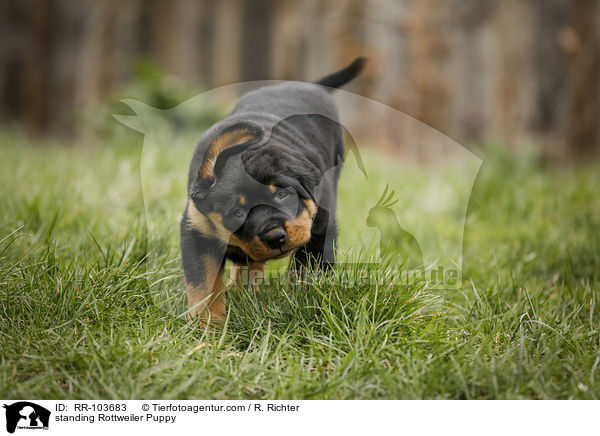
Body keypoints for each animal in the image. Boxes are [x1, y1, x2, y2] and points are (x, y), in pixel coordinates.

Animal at [179, 57, 366, 324]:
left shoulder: (321, 229)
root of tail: (311, 85)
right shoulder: (197, 232)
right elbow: (204, 287)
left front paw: (309, 308)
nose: (275, 236)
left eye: (282, 195)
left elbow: (308, 276)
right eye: (237, 212)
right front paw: (208, 327)